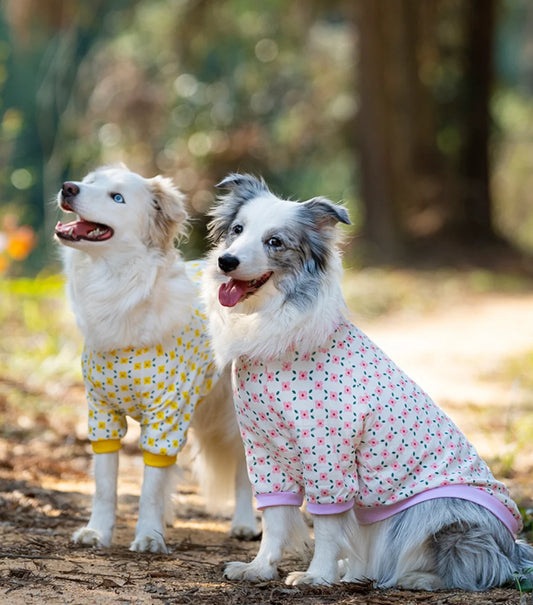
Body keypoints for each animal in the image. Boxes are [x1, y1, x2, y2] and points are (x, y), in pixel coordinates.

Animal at [53, 165, 256, 552]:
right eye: (89, 181)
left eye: (117, 197)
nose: (68, 187)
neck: (120, 287)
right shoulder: (102, 411)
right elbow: (105, 485)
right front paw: (97, 531)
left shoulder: (167, 414)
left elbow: (149, 488)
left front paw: (148, 535)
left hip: (235, 413)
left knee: (243, 469)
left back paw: (244, 523)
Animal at [203, 172, 532, 588]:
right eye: (237, 230)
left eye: (274, 242)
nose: (225, 261)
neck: (274, 328)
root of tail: (513, 548)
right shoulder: (264, 450)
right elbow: (275, 519)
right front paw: (259, 568)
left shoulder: (328, 452)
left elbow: (326, 526)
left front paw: (317, 576)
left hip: (442, 513)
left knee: (478, 564)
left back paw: (418, 578)